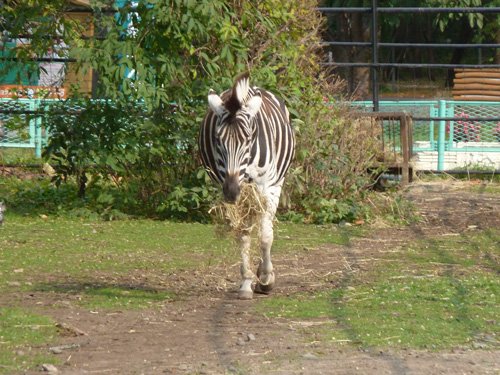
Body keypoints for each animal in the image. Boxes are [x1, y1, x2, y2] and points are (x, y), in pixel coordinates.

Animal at [198, 73, 294, 302]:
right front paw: (246, 282)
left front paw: (266, 278)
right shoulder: (230, 189)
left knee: (267, 227)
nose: (232, 191)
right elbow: (242, 234)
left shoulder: (264, 185)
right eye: (218, 140)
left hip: (275, 184)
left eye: (248, 139)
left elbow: (266, 237)